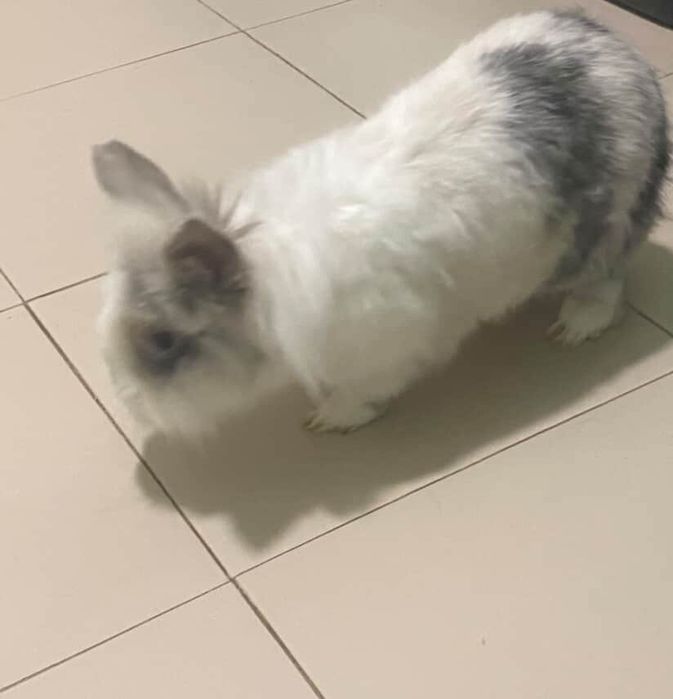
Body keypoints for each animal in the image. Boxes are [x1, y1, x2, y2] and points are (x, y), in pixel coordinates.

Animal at [92, 9, 669, 436]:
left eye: (163, 342)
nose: (130, 404)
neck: (266, 280)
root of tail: (620, 51)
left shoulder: (387, 348)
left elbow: (364, 392)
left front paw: (329, 420)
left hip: (609, 224)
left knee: (607, 279)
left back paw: (575, 327)